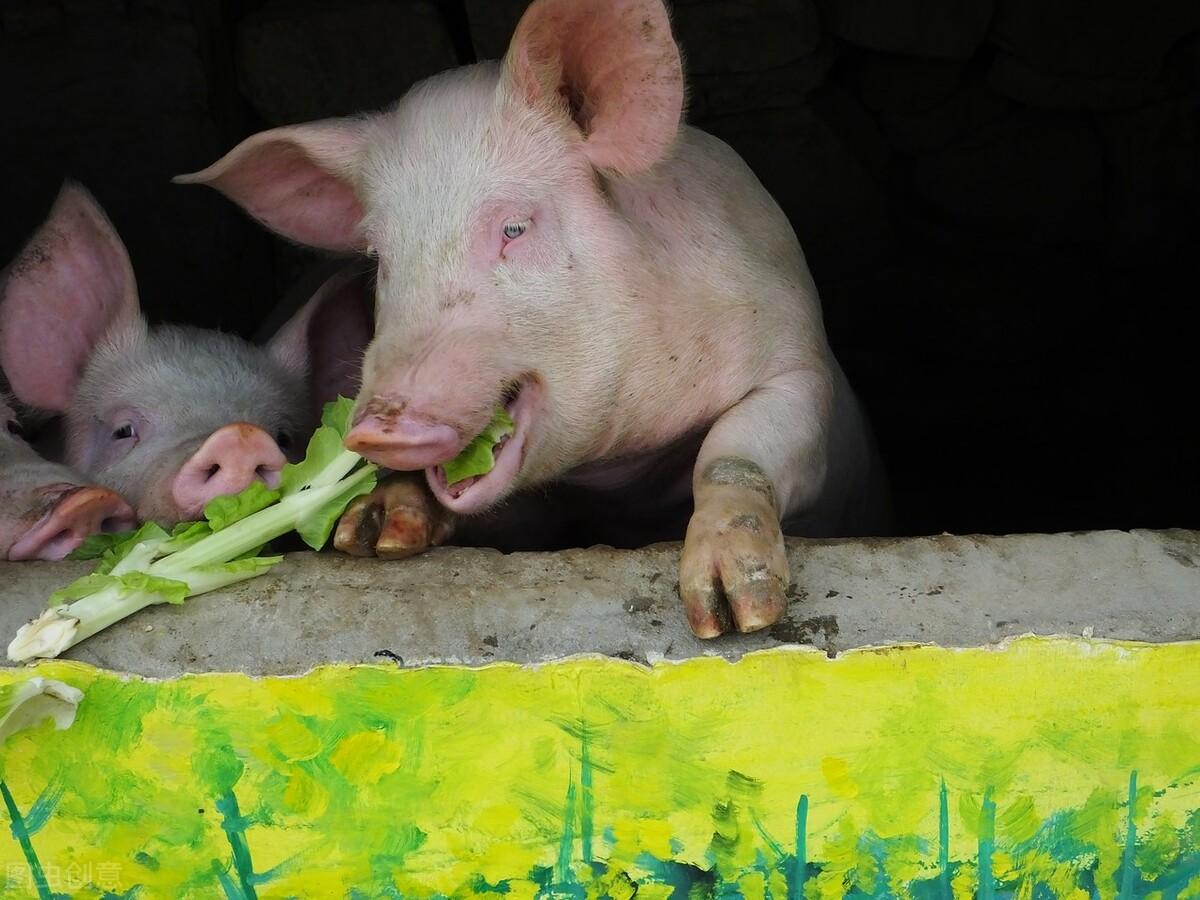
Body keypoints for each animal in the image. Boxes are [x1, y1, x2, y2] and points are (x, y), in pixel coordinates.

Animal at [177, 0, 892, 638]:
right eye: (381, 259)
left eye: (515, 228)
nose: (378, 424)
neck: (614, 473)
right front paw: (370, 536)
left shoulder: (797, 363)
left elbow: (733, 454)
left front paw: (732, 616)